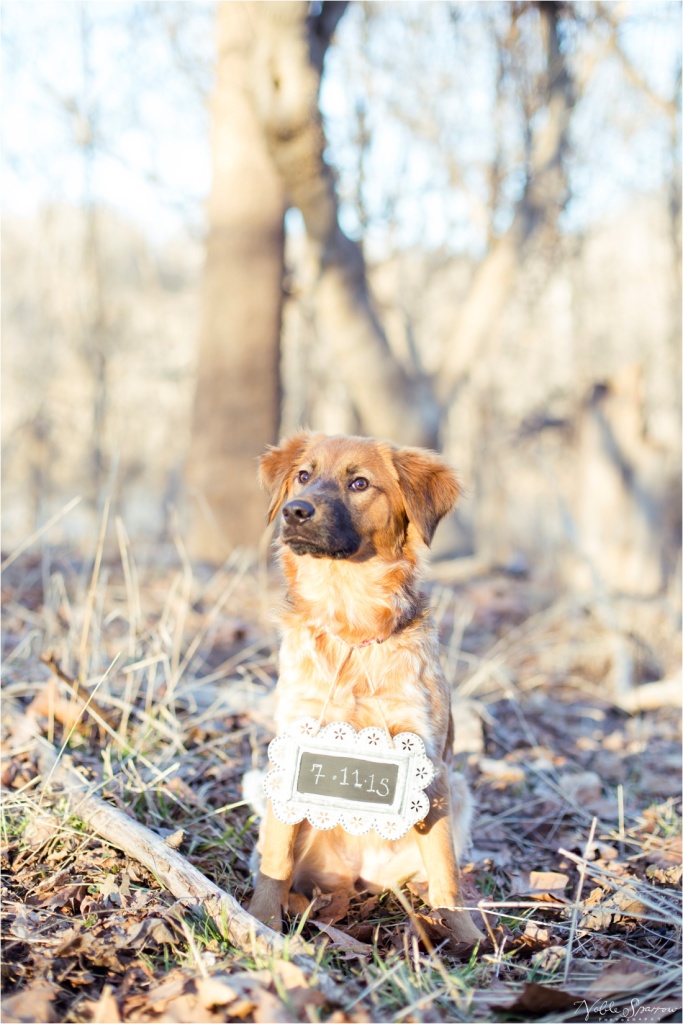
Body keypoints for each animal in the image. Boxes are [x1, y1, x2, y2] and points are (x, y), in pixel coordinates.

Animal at [248, 430, 483, 942]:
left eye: (359, 483)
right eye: (303, 475)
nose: (295, 511)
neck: (351, 627)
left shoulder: (428, 764)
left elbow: (446, 870)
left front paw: (467, 936)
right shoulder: (294, 748)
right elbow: (274, 862)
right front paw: (260, 922)